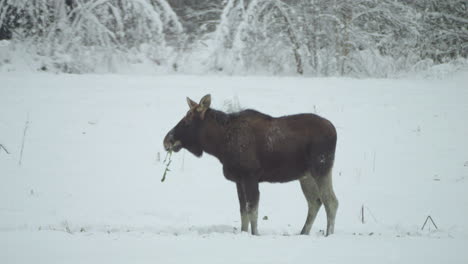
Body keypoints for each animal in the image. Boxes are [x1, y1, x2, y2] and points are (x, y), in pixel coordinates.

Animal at [163, 94, 338, 235]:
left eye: (187, 121)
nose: (167, 140)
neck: (219, 145)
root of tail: (334, 130)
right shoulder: (238, 180)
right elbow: (243, 211)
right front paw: (244, 233)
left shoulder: (250, 176)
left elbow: (252, 209)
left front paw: (255, 234)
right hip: (306, 175)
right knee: (315, 202)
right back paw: (303, 233)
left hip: (321, 168)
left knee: (331, 202)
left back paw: (328, 234)